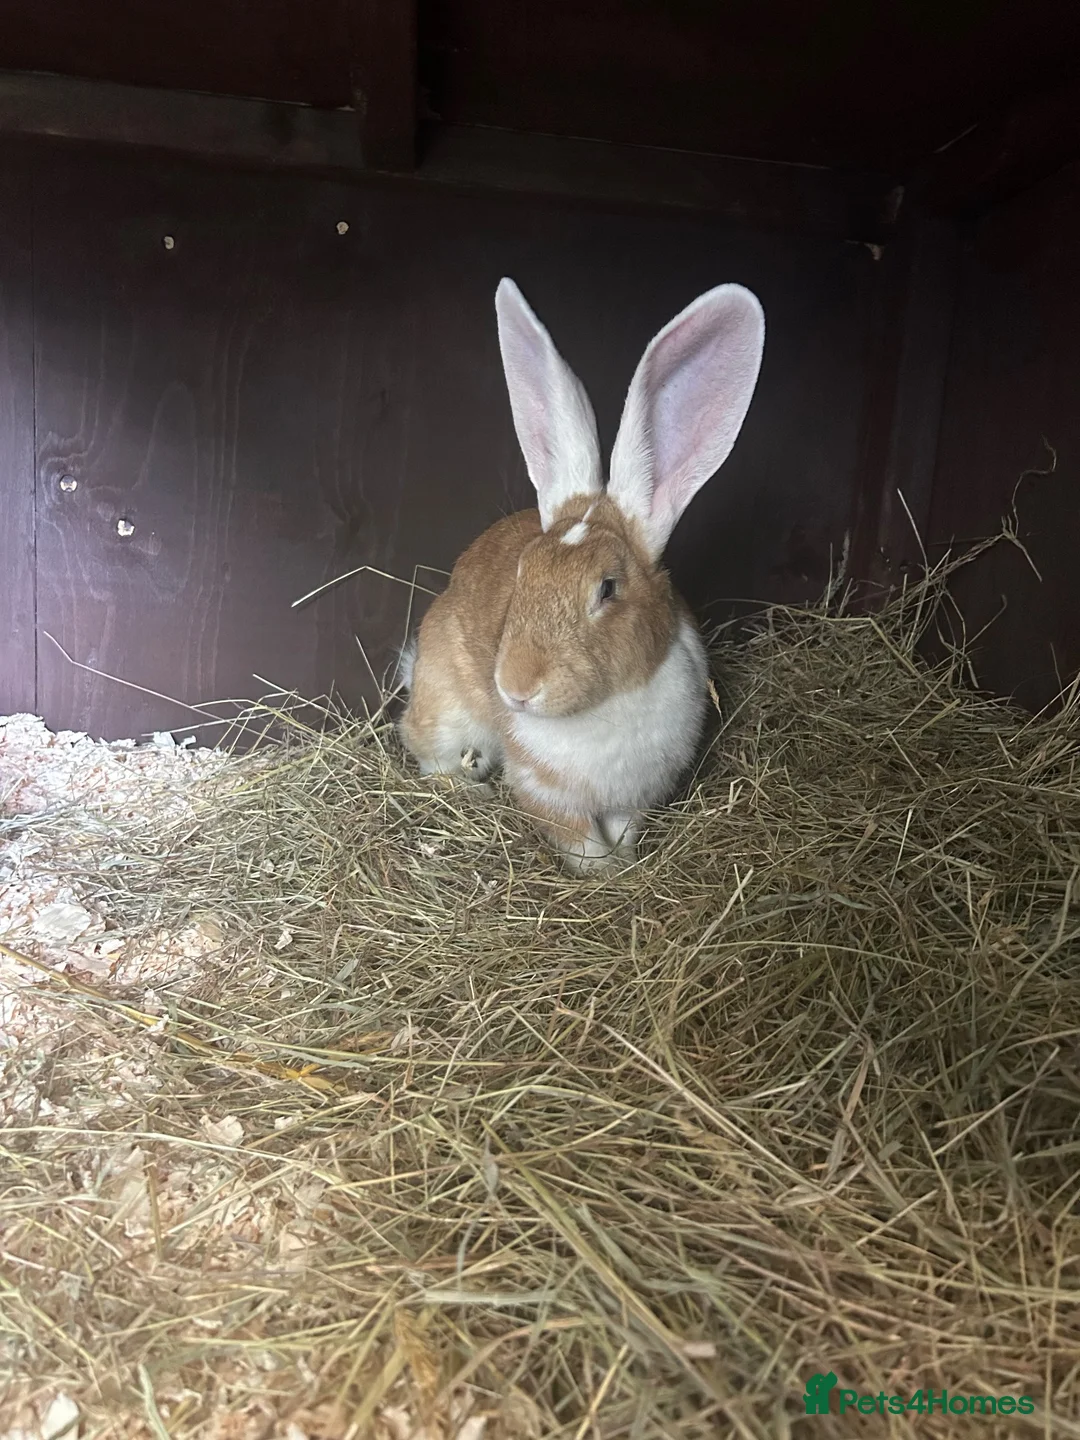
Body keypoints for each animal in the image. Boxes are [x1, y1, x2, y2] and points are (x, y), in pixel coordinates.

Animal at [398, 276, 765, 873]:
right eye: (523, 573)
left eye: (607, 589)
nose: (515, 688)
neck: (607, 707)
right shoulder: (546, 792)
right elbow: (580, 842)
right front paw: (601, 872)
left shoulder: (635, 796)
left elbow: (624, 831)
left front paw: (624, 865)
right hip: (446, 716)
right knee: (428, 753)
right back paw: (472, 787)